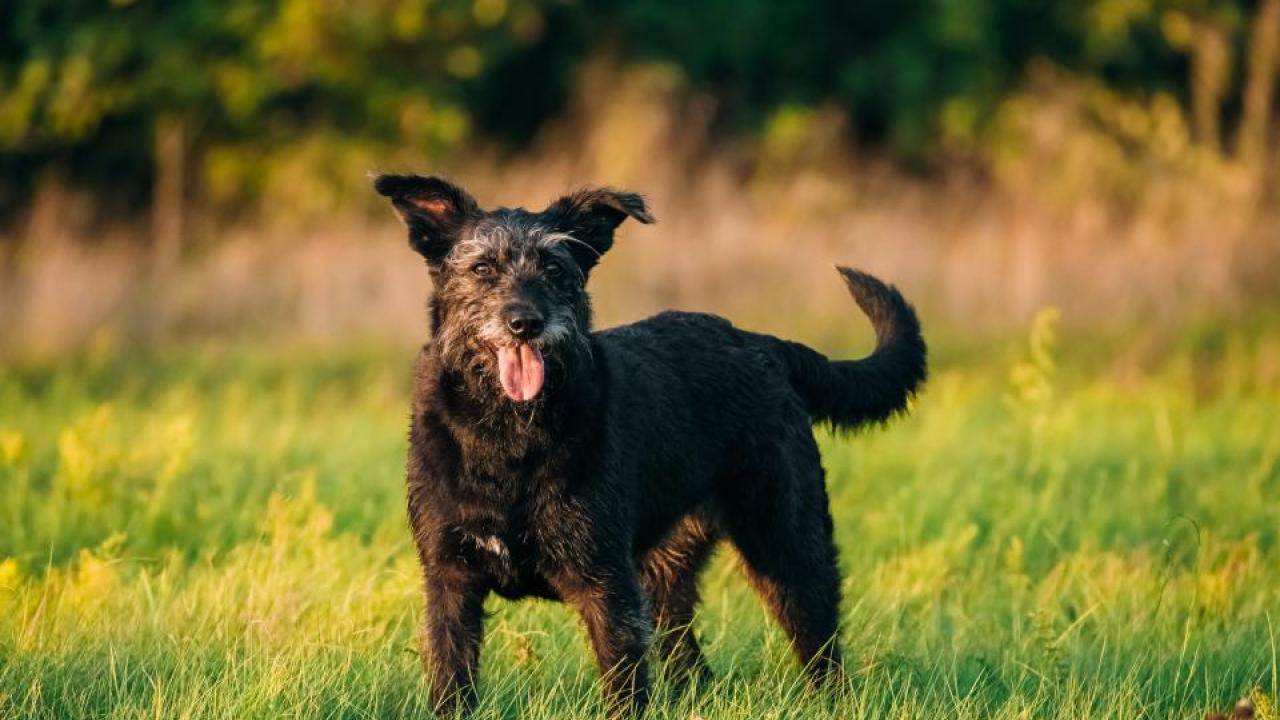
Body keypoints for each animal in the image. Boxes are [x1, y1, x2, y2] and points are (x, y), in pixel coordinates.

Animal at [373, 175, 926, 712]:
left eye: (555, 267)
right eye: (482, 267)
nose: (525, 322)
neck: (508, 436)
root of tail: (764, 343)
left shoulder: (607, 585)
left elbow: (624, 684)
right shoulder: (450, 583)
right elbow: (451, 680)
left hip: (787, 544)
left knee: (820, 648)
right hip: (667, 572)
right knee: (689, 659)